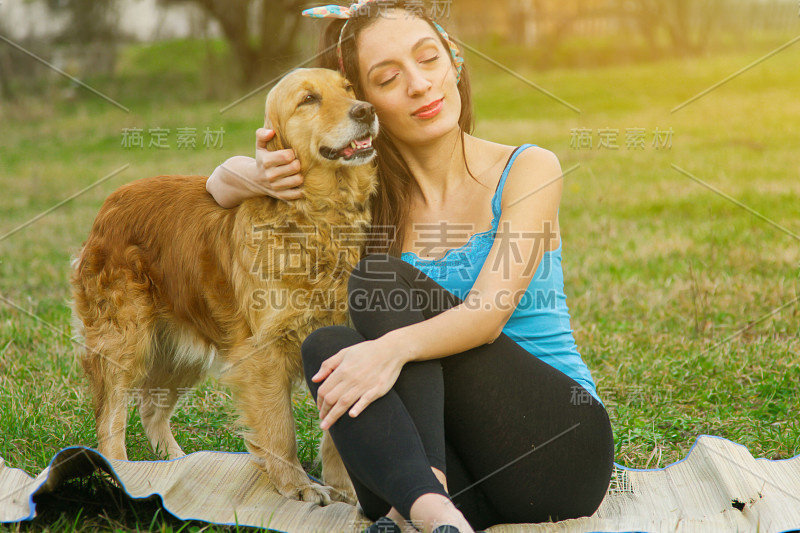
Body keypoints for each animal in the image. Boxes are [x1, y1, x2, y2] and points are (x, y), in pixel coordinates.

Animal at [68, 66, 378, 502]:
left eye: (348, 88)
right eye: (308, 99)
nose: (365, 110)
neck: (316, 219)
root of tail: (113, 199)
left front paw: (347, 491)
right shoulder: (263, 353)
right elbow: (280, 430)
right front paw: (297, 487)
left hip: (180, 349)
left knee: (151, 408)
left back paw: (177, 462)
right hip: (123, 339)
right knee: (111, 418)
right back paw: (123, 473)